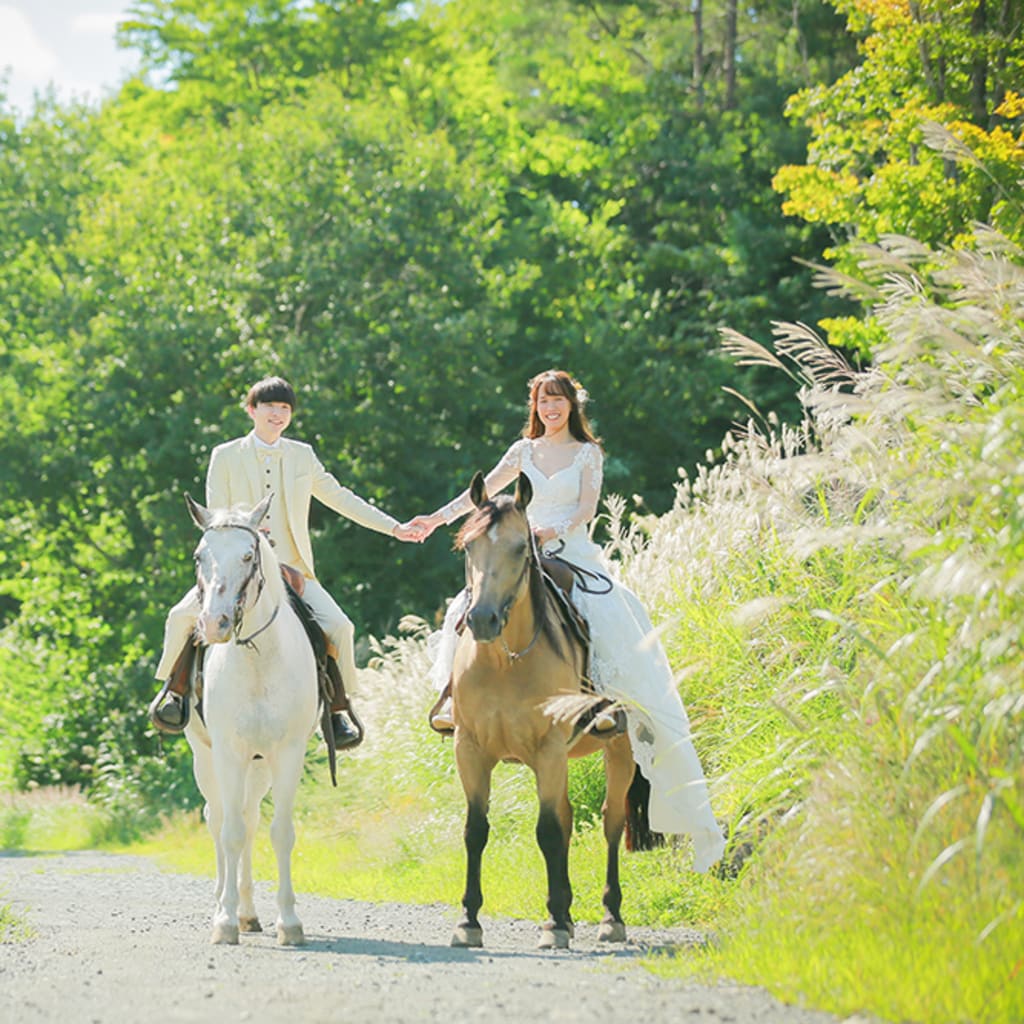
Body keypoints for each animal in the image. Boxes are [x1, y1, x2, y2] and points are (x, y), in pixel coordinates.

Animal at [180, 491, 315, 946]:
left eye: (247, 556)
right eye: (199, 556)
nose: (213, 624)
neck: (258, 657)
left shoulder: (287, 754)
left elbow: (281, 832)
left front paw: (289, 922)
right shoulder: (227, 753)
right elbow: (231, 832)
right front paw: (223, 922)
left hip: (258, 767)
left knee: (251, 819)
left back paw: (248, 913)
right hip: (207, 759)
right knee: (221, 819)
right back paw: (226, 907)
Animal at [446, 471, 651, 950]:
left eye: (522, 548)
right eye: (468, 546)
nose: (481, 619)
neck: (505, 660)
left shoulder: (549, 748)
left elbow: (547, 832)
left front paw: (555, 924)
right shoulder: (471, 749)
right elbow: (476, 831)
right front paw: (469, 921)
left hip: (618, 751)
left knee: (611, 823)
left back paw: (609, 917)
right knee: (569, 817)